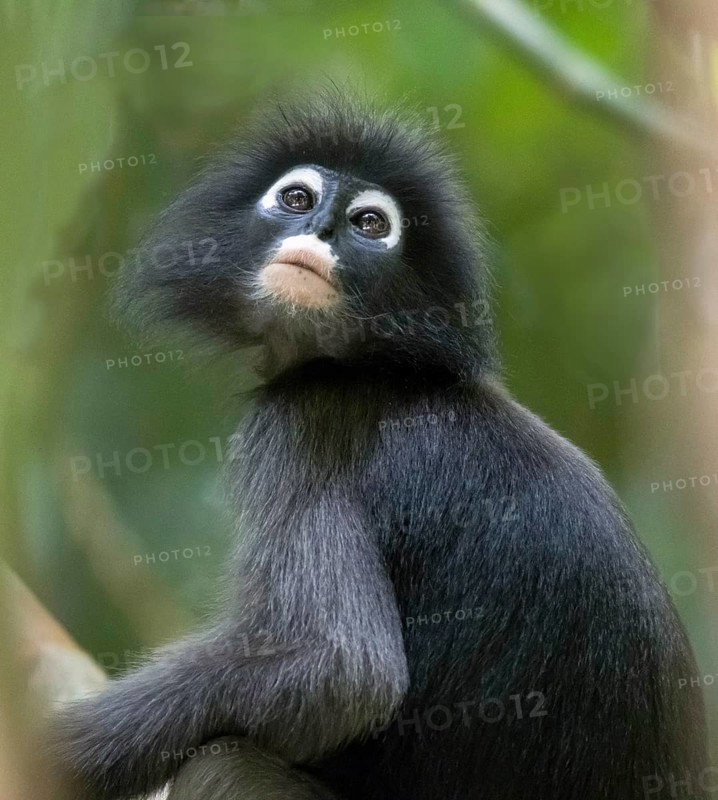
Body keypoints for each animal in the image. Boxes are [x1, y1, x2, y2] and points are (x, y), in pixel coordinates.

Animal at [49, 89, 708, 800]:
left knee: (219, 761)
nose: (321, 232)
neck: (381, 364)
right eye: (299, 200)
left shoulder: (303, 420)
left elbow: (345, 671)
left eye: (368, 223)